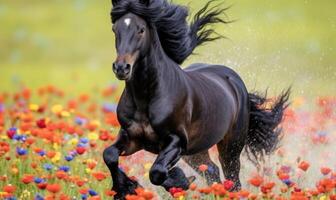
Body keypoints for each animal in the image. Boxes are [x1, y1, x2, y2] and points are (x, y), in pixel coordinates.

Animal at [103, 0, 288, 198]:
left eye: (141, 30)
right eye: (115, 29)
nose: (121, 68)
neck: (146, 98)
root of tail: (236, 82)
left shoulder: (177, 141)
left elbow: (157, 172)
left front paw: (180, 180)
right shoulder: (132, 137)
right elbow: (109, 155)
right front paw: (126, 187)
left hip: (230, 148)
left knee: (233, 180)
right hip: (196, 152)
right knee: (212, 171)